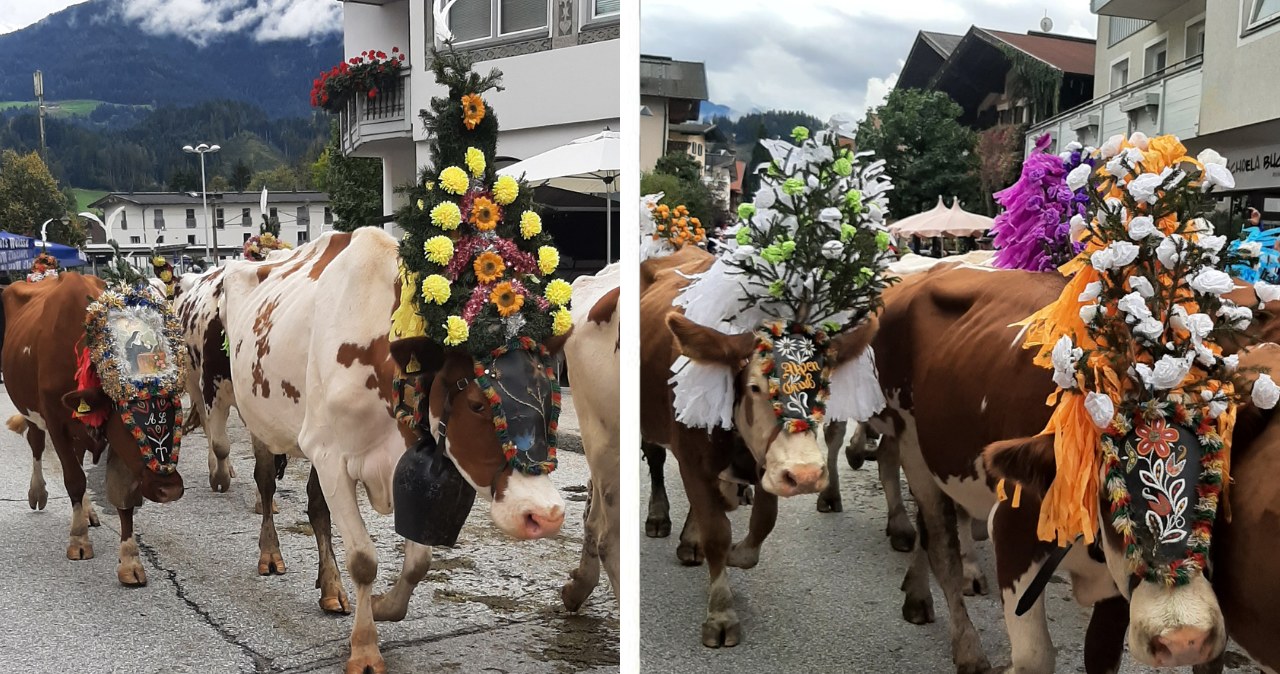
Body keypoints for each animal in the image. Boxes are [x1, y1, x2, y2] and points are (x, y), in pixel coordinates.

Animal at [0, 271, 185, 588]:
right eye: (128, 420)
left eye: (177, 414)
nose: (169, 489)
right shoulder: (56, 422)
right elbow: (73, 479)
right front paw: (78, 541)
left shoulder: (111, 440)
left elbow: (123, 494)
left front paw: (130, 561)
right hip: (31, 412)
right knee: (36, 444)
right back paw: (38, 493)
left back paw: (86, 512)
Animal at [218, 230, 565, 674]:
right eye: (477, 404)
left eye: (550, 397)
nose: (546, 514)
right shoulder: (331, 456)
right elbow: (364, 560)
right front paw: (365, 649)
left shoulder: (396, 460)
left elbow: (419, 562)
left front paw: (383, 607)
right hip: (260, 423)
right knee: (265, 487)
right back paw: (271, 555)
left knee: (316, 508)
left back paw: (331, 588)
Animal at [640, 245, 880, 647]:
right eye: (755, 387)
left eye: (823, 386)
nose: (806, 474)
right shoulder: (692, 457)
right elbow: (717, 532)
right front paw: (721, 614)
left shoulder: (769, 465)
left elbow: (761, 525)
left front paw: (735, 553)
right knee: (657, 459)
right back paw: (660, 518)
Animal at [875, 264, 1280, 674]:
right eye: (1111, 495)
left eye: (1214, 484)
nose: (1184, 639)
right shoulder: (1012, 528)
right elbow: (1035, 658)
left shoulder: (1116, 586)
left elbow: (1100, 656)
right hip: (911, 445)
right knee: (940, 546)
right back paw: (967, 647)